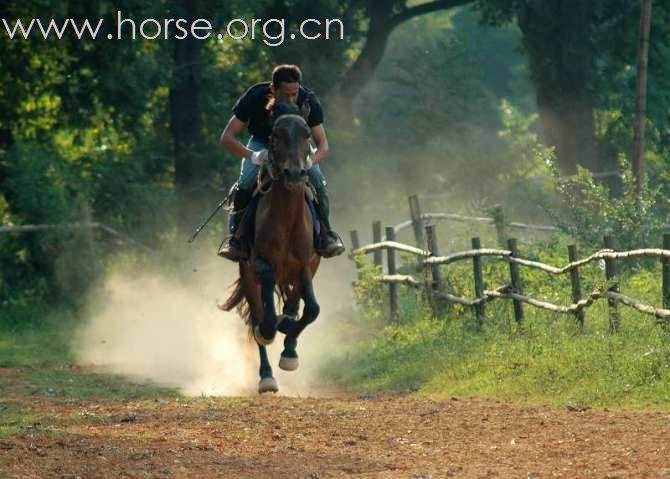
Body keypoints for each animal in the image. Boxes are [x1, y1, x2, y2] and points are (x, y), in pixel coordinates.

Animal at [222, 111, 322, 394]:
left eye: (307, 135)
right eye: (275, 136)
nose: (295, 173)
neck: (286, 217)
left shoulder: (306, 265)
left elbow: (311, 309)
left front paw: (289, 346)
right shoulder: (260, 264)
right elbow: (263, 320)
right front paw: (271, 327)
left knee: (293, 304)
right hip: (248, 276)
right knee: (256, 317)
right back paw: (266, 375)